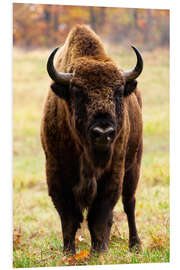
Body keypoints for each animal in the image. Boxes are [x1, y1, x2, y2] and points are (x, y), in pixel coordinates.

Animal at [40, 25, 143, 255]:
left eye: (118, 91)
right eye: (78, 91)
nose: (103, 132)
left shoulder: (113, 172)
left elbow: (100, 216)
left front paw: (100, 251)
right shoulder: (56, 173)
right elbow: (69, 218)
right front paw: (68, 253)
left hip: (134, 165)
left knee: (129, 202)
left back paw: (135, 245)